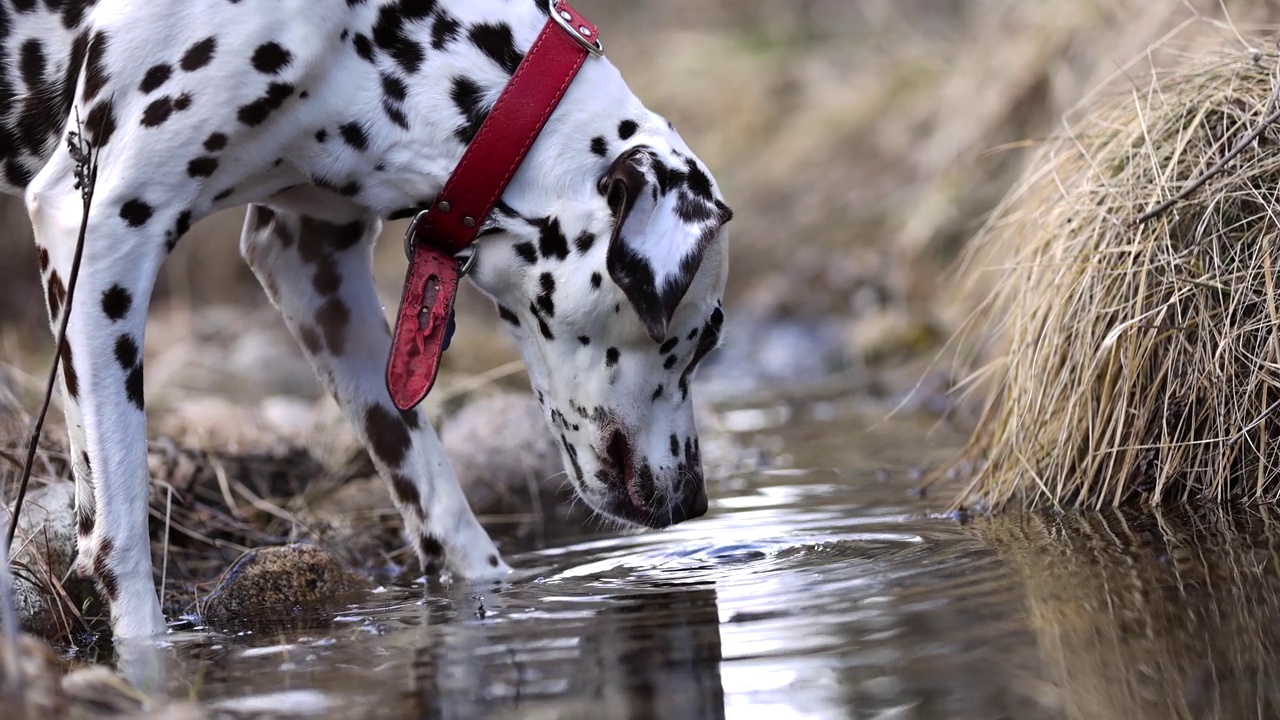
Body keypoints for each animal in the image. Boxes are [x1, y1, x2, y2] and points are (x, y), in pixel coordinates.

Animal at [0, 1, 732, 638]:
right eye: (703, 335)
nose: (694, 501)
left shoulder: (313, 262)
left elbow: (435, 489)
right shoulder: (102, 224)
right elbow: (121, 534)